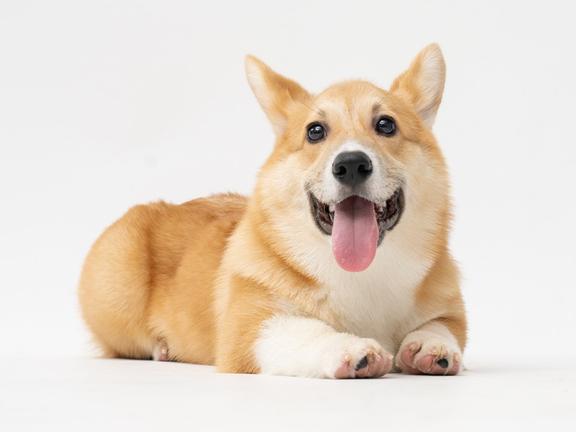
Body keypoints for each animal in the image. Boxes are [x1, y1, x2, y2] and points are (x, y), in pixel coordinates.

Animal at [80, 42, 468, 376]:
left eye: (386, 124)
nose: (351, 164)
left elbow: (440, 328)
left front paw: (430, 347)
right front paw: (350, 348)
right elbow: (307, 331)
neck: (363, 275)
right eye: (315, 131)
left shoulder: (450, 312)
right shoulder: (252, 330)